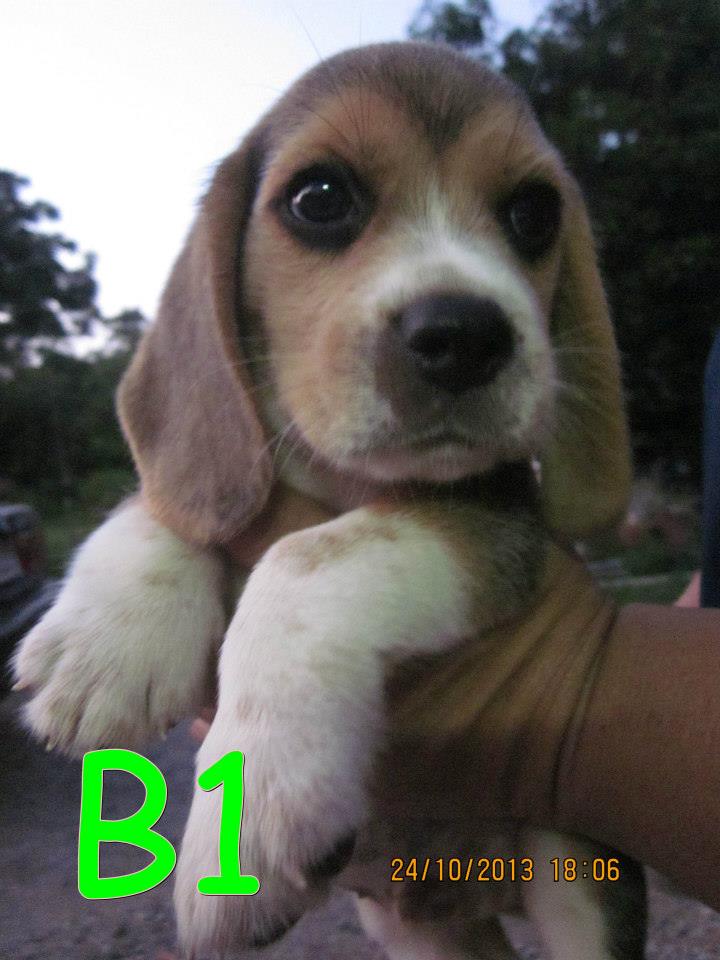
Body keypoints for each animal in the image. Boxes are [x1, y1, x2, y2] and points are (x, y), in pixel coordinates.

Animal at [14, 41, 644, 959]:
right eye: (319, 198)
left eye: (533, 213)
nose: (464, 335)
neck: (336, 475)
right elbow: (173, 502)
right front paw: (105, 642)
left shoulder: (496, 519)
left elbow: (308, 554)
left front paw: (249, 810)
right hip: (415, 930)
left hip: (577, 878)